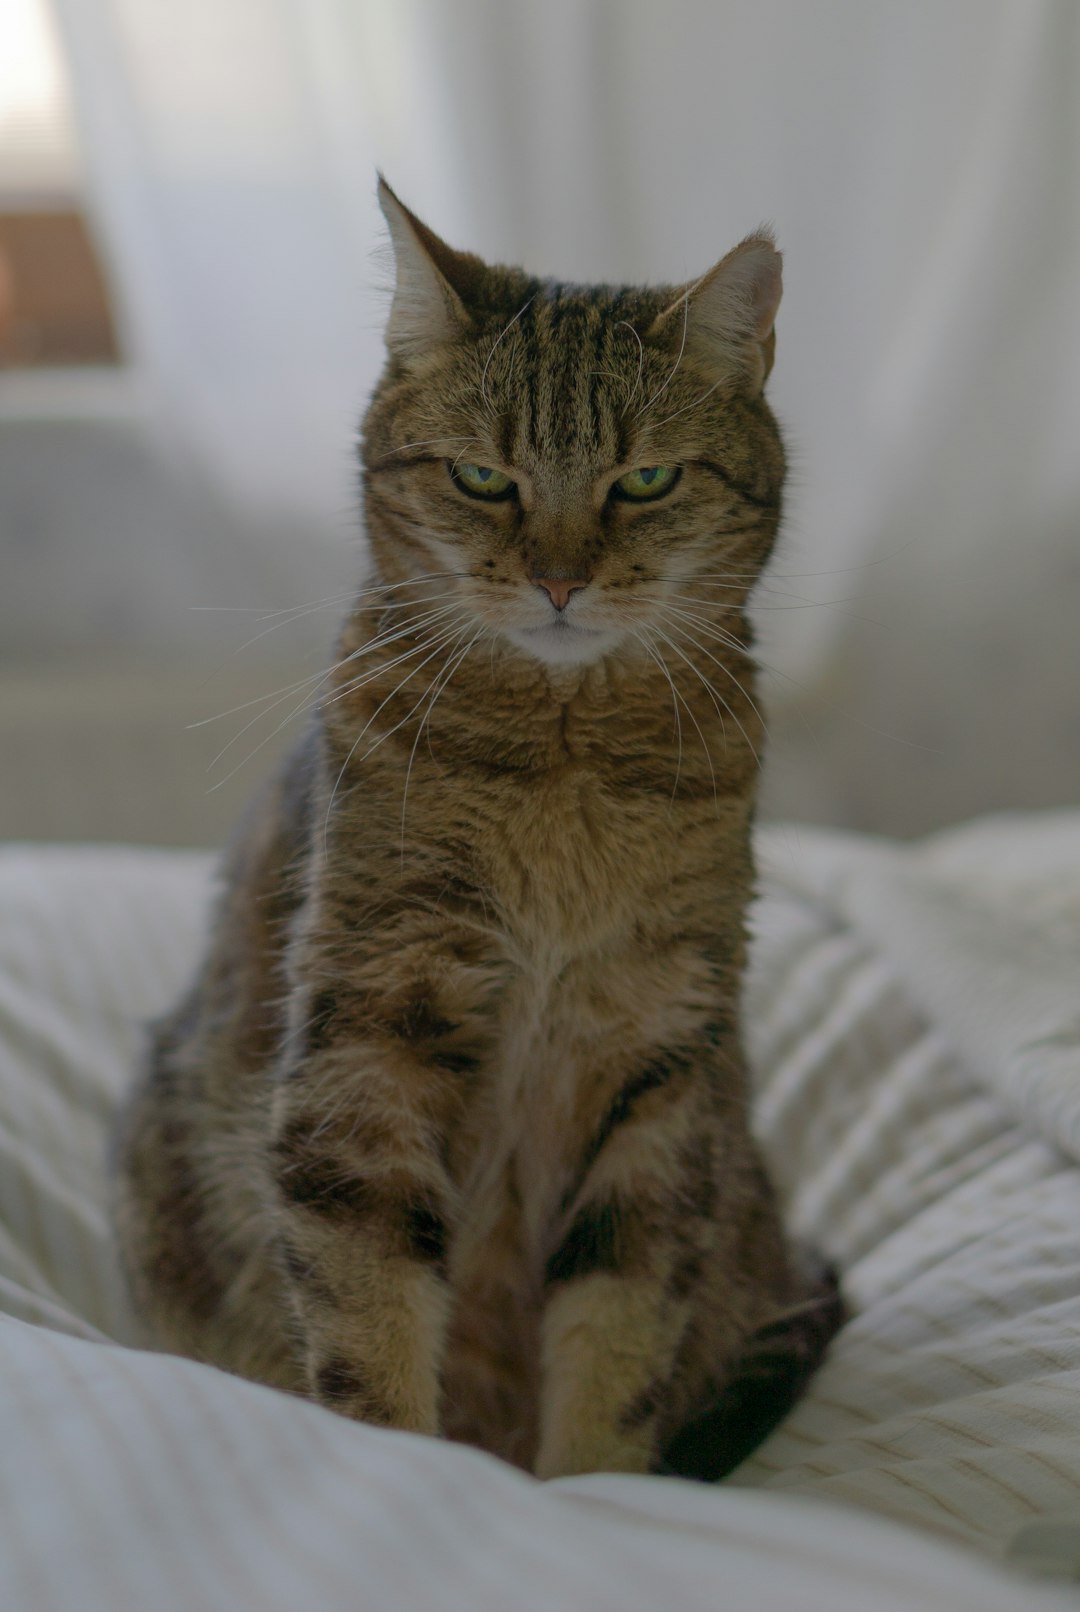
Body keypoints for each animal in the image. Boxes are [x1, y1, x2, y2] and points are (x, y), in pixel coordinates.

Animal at [120, 182, 844, 1476]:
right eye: (480, 476)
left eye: (646, 480)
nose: (558, 579)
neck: (563, 768)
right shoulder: (370, 1030)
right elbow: (365, 1311)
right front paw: (403, 1462)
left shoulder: (660, 1054)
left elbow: (622, 1325)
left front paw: (596, 1491)